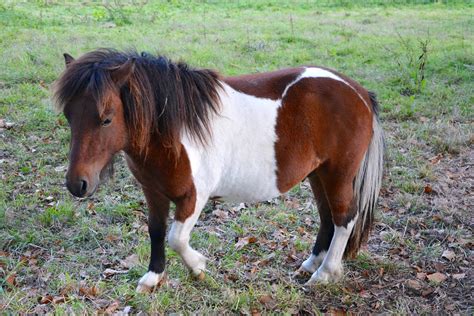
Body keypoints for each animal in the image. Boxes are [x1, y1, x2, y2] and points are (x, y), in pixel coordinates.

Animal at [53, 49, 384, 294]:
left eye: (106, 119)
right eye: (69, 115)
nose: (77, 184)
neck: (172, 132)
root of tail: (358, 92)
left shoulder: (193, 197)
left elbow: (176, 238)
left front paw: (198, 267)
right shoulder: (153, 192)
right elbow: (157, 231)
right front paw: (153, 277)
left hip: (338, 174)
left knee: (344, 218)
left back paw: (326, 273)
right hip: (318, 174)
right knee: (327, 217)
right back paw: (312, 264)